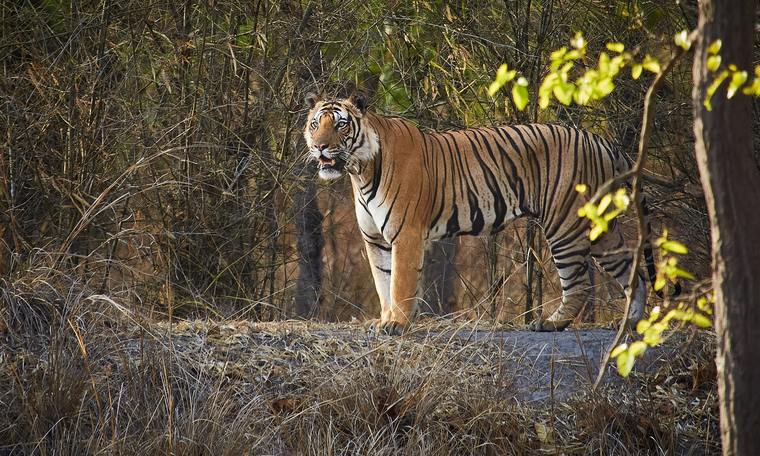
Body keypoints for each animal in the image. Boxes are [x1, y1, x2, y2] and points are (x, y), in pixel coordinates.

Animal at [303, 91, 665, 335]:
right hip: (599, 226)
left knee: (578, 283)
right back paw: (630, 322)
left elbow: (401, 283)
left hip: (565, 224)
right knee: (631, 266)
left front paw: (398, 324)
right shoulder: (375, 240)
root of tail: (598, 139)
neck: (360, 170)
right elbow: (383, 282)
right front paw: (386, 319)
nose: (320, 146)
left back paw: (551, 323)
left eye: (341, 125)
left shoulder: (406, 235)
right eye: (315, 124)